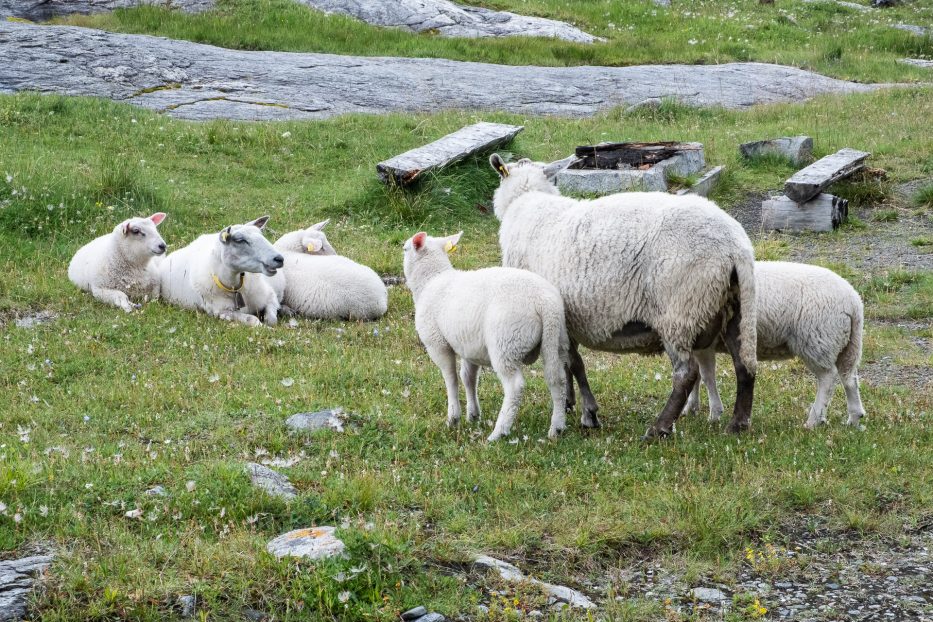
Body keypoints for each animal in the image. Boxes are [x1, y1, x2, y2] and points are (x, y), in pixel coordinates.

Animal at [404, 232, 572, 442]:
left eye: (405, 249)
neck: (431, 280)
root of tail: (545, 303)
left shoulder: (437, 343)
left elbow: (451, 378)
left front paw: (453, 418)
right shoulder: (468, 345)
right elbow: (468, 378)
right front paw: (473, 414)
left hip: (506, 342)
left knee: (514, 386)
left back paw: (499, 432)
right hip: (557, 340)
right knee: (557, 379)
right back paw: (557, 427)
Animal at [488, 154, 756, 442]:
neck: (527, 202)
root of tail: (734, 245)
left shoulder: (558, 314)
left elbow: (574, 364)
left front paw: (589, 413)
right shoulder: (566, 320)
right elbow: (568, 363)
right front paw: (571, 402)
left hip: (679, 311)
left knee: (686, 374)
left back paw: (658, 428)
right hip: (733, 305)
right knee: (744, 364)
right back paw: (738, 424)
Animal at [676, 262, 868, 428]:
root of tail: (853, 302)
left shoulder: (704, 343)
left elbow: (706, 376)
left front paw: (714, 414)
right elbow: (695, 377)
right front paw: (690, 408)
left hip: (816, 340)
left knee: (828, 377)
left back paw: (813, 420)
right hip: (846, 345)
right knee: (849, 377)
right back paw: (854, 418)